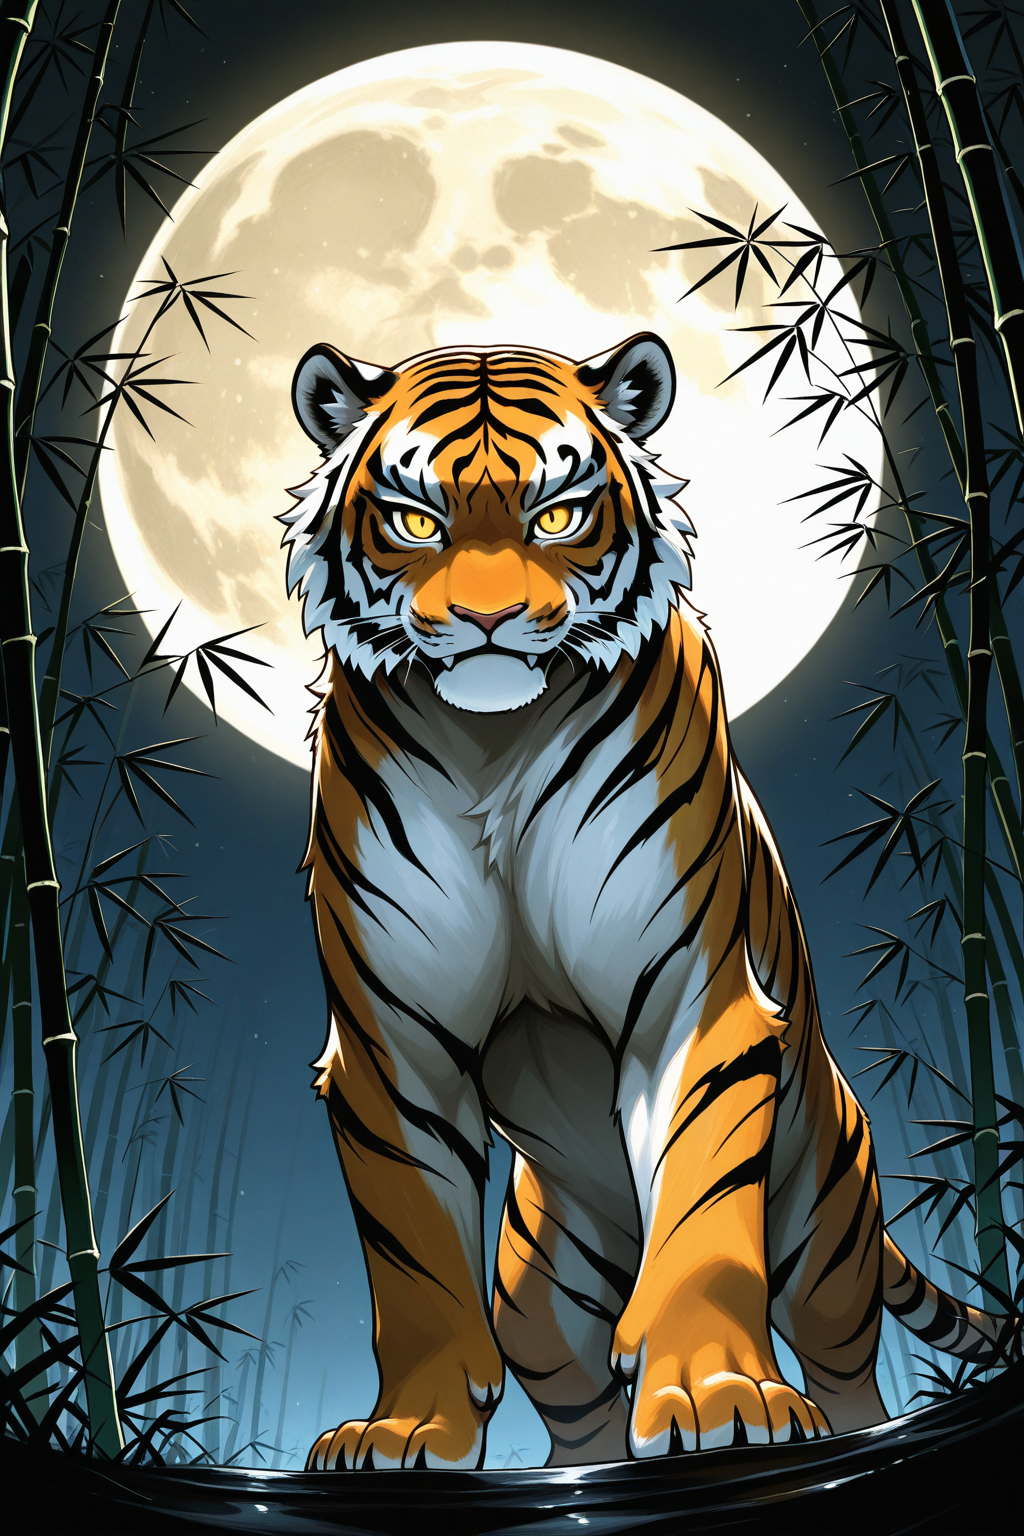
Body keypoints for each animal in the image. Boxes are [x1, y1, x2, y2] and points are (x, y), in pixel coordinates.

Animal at [280, 330, 1010, 1472]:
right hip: (539, 1303)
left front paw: (718, 1395)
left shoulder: (687, 998)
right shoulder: (389, 1044)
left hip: (827, 1250)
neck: (492, 744)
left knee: (846, 1373)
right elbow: (414, 1261)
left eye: (556, 515)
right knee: (580, 1420)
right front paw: (406, 1427)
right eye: (414, 521)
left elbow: (703, 1211)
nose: (486, 625)